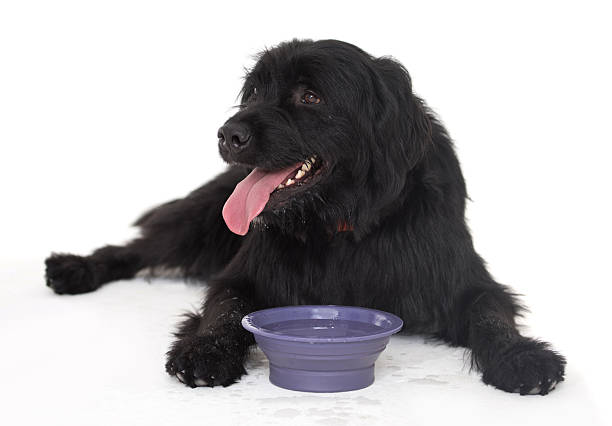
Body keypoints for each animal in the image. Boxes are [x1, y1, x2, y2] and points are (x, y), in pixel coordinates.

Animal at [45, 40, 568, 396]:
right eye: (255, 90)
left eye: (310, 97)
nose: (227, 134)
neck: (342, 225)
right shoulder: (244, 274)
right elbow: (224, 307)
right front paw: (206, 350)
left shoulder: (464, 280)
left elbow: (489, 312)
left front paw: (521, 355)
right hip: (198, 221)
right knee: (133, 249)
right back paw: (77, 267)